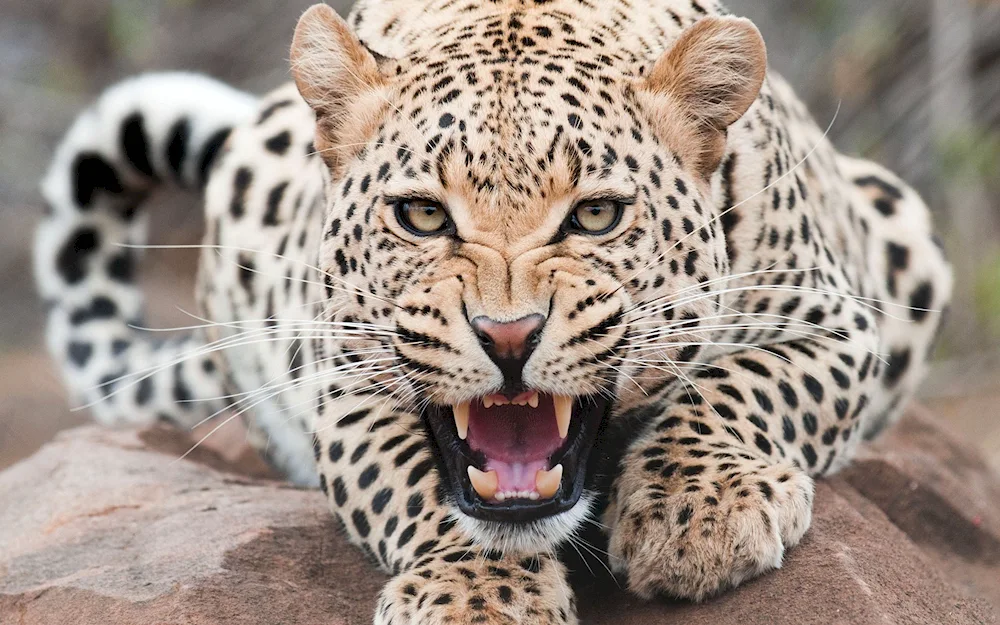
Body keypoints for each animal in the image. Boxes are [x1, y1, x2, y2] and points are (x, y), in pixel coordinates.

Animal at [33, 2, 952, 620]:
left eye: (595, 215)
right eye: (422, 215)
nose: (507, 336)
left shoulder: (835, 317)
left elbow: (747, 385)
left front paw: (699, 514)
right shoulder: (343, 375)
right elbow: (412, 482)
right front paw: (476, 593)